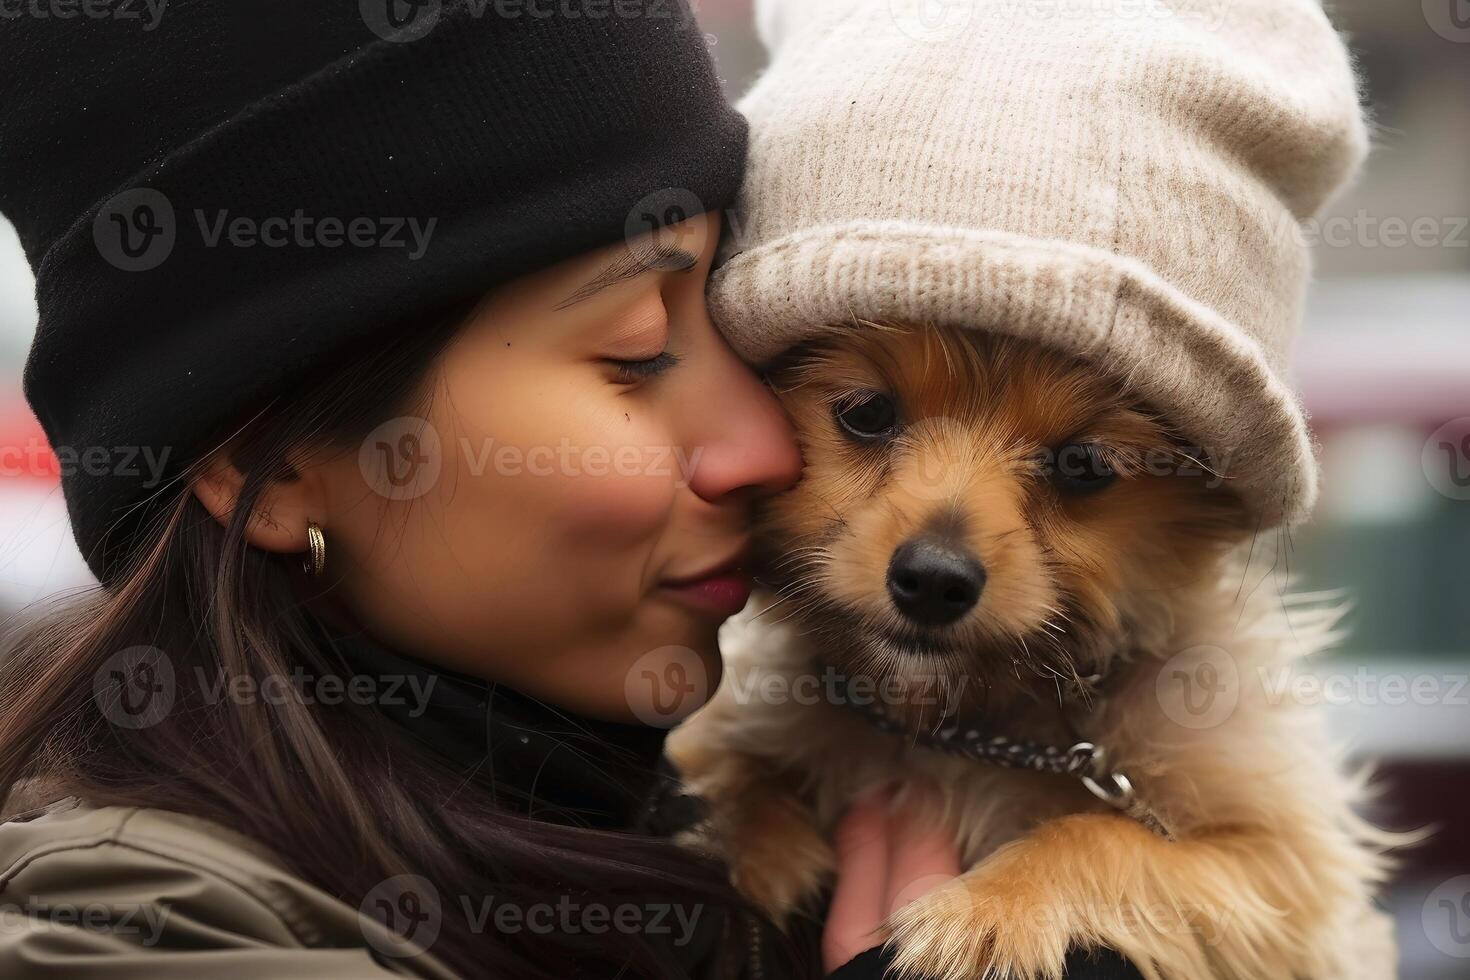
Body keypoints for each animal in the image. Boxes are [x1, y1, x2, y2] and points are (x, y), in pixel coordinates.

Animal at [673, 326, 1393, 975]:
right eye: (867, 412)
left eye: (1085, 465)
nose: (933, 581)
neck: (958, 723)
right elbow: (729, 763)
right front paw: (748, 846)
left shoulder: (1286, 875)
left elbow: (1099, 834)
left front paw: (989, 907)